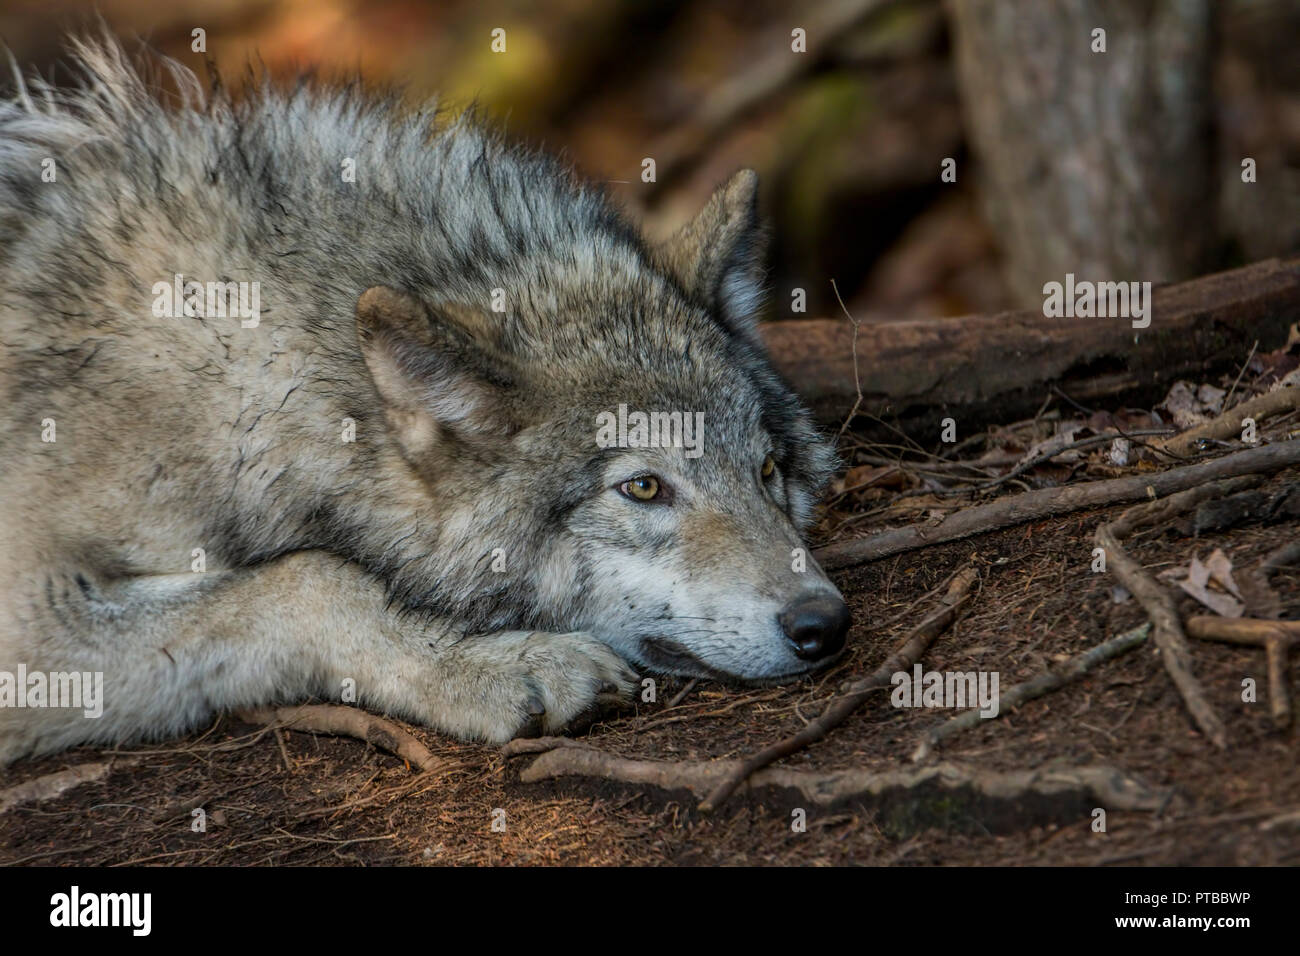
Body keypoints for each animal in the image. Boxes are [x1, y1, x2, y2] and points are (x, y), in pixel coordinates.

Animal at [0, 37, 847, 764]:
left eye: (768, 470)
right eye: (644, 487)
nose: (824, 623)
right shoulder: (29, 621)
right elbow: (316, 577)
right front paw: (491, 668)